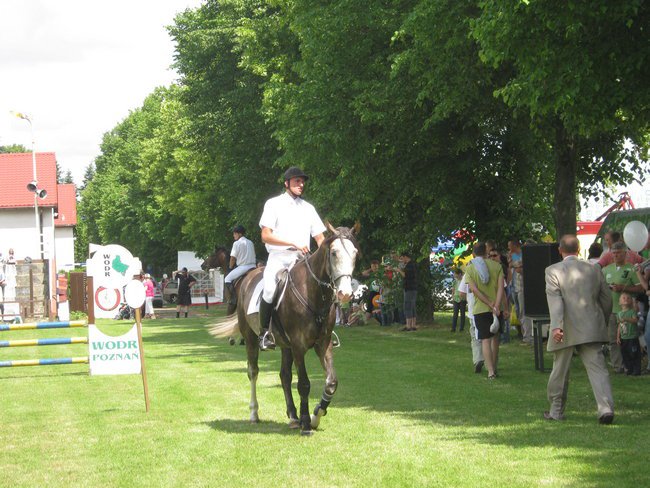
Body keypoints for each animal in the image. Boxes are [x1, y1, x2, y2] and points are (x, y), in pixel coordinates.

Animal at [208, 222, 360, 434]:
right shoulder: (298, 345)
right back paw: (255, 413)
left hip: (284, 345)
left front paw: (315, 415)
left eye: (355, 253)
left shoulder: (323, 344)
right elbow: (304, 384)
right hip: (252, 338)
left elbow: (331, 382)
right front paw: (306, 423)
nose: (345, 293)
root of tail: (248, 277)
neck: (312, 293)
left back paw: (293, 417)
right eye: (334, 253)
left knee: (284, 376)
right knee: (253, 371)